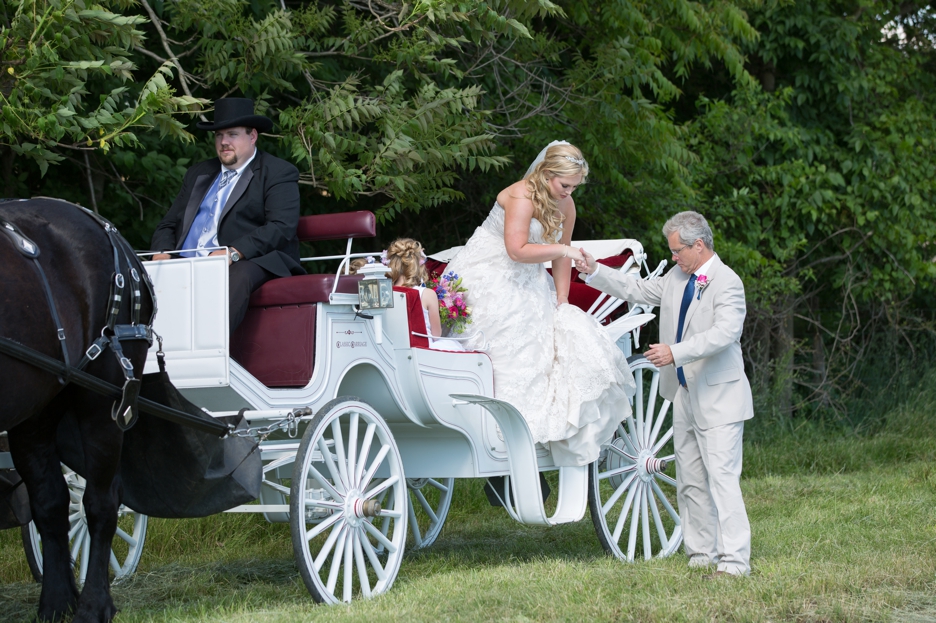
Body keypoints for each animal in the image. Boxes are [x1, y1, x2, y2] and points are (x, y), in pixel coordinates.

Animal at [0, 197, 154, 620]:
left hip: (103, 403)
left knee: (100, 502)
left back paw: (93, 604)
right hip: (35, 413)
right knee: (51, 503)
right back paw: (55, 602)